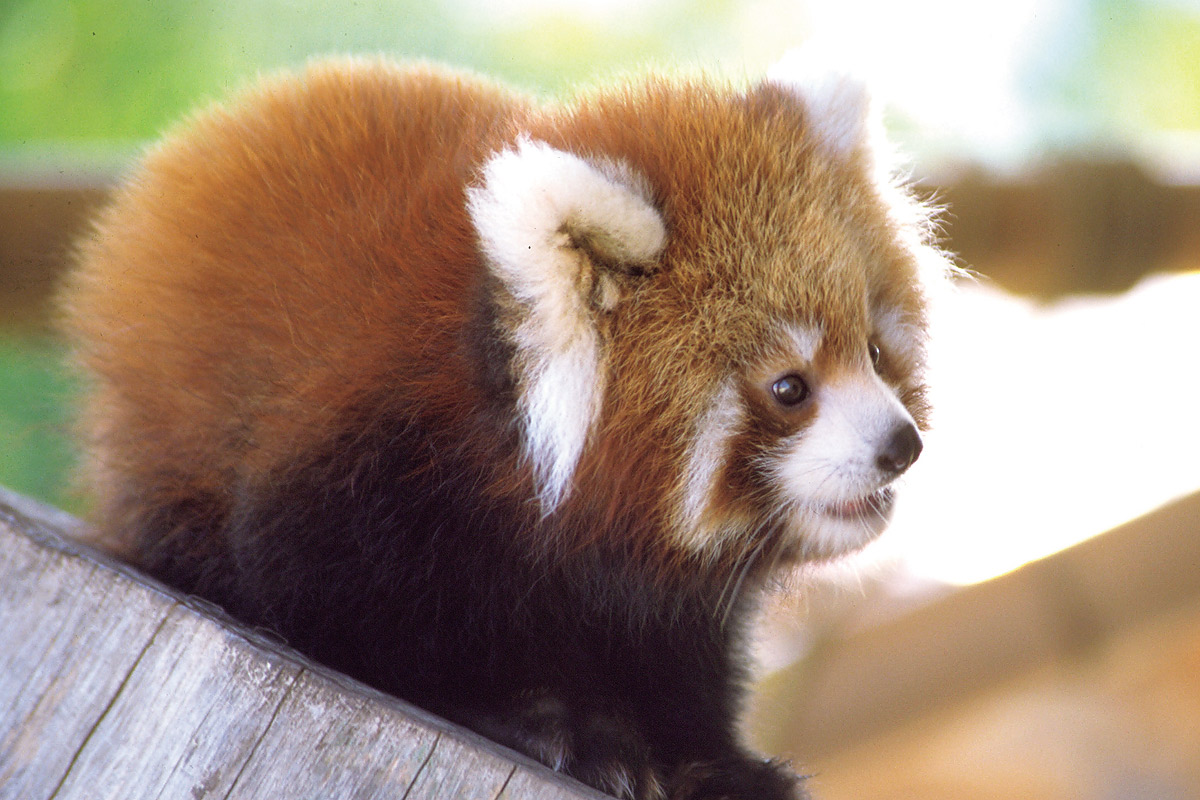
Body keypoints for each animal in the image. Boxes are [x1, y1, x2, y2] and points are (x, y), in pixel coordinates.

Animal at [60, 57, 945, 800]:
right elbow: (343, 609)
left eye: (873, 352)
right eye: (790, 388)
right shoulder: (363, 466)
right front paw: (559, 723)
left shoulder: (653, 589)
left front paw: (716, 762)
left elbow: (676, 652)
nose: (901, 446)